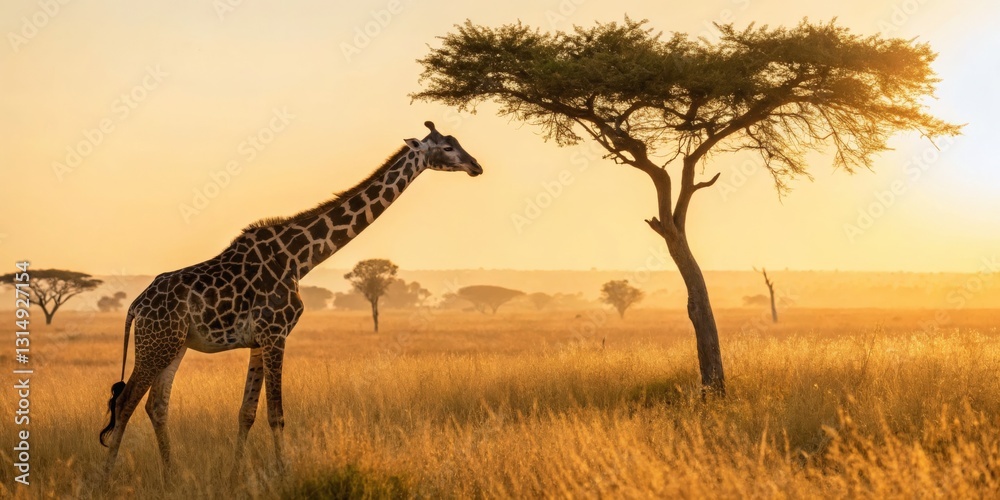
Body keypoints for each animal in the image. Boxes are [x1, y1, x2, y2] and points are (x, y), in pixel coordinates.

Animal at [98, 121, 482, 477]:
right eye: (447, 147)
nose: (476, 165)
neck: (300, 258)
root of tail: (136, 306)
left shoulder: (258, 340)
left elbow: (247, 412)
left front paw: (235, 474)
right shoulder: (275, 333)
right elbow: (276, 414)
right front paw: (283, 473)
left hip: (174, 345)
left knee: (156, 405)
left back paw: (171, 475)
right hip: (156, 343)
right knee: (126, 401)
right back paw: (106, 478)